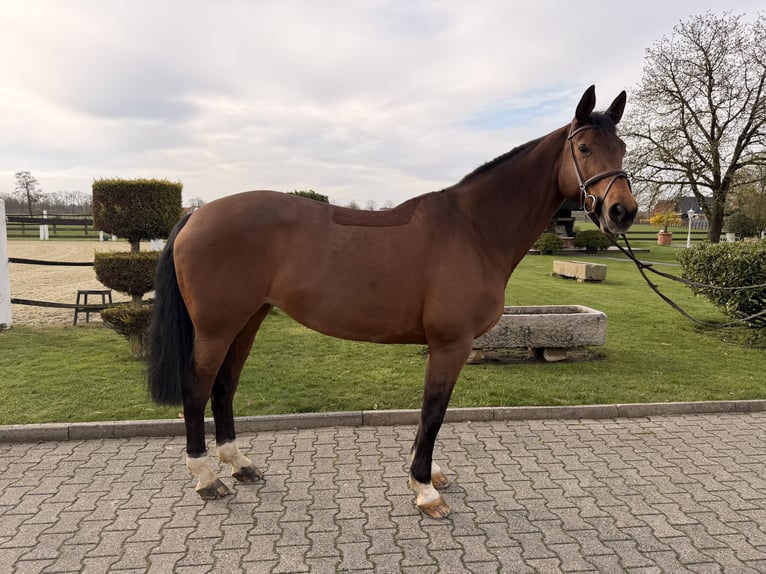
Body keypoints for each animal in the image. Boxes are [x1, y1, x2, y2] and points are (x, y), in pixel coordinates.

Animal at [147, 85, 637, 518]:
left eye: (623, 148)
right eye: (585, 148)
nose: (623, 211)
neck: (473, 229)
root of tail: (196, 214)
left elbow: (426, 414)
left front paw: (428, 476)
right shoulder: (451, 344)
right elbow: (434, 412)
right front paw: (425, 490)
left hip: (247, 320)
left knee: (224, 386)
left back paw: (240, 465)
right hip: (216, 328)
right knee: (197, 388)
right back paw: (207, 478)